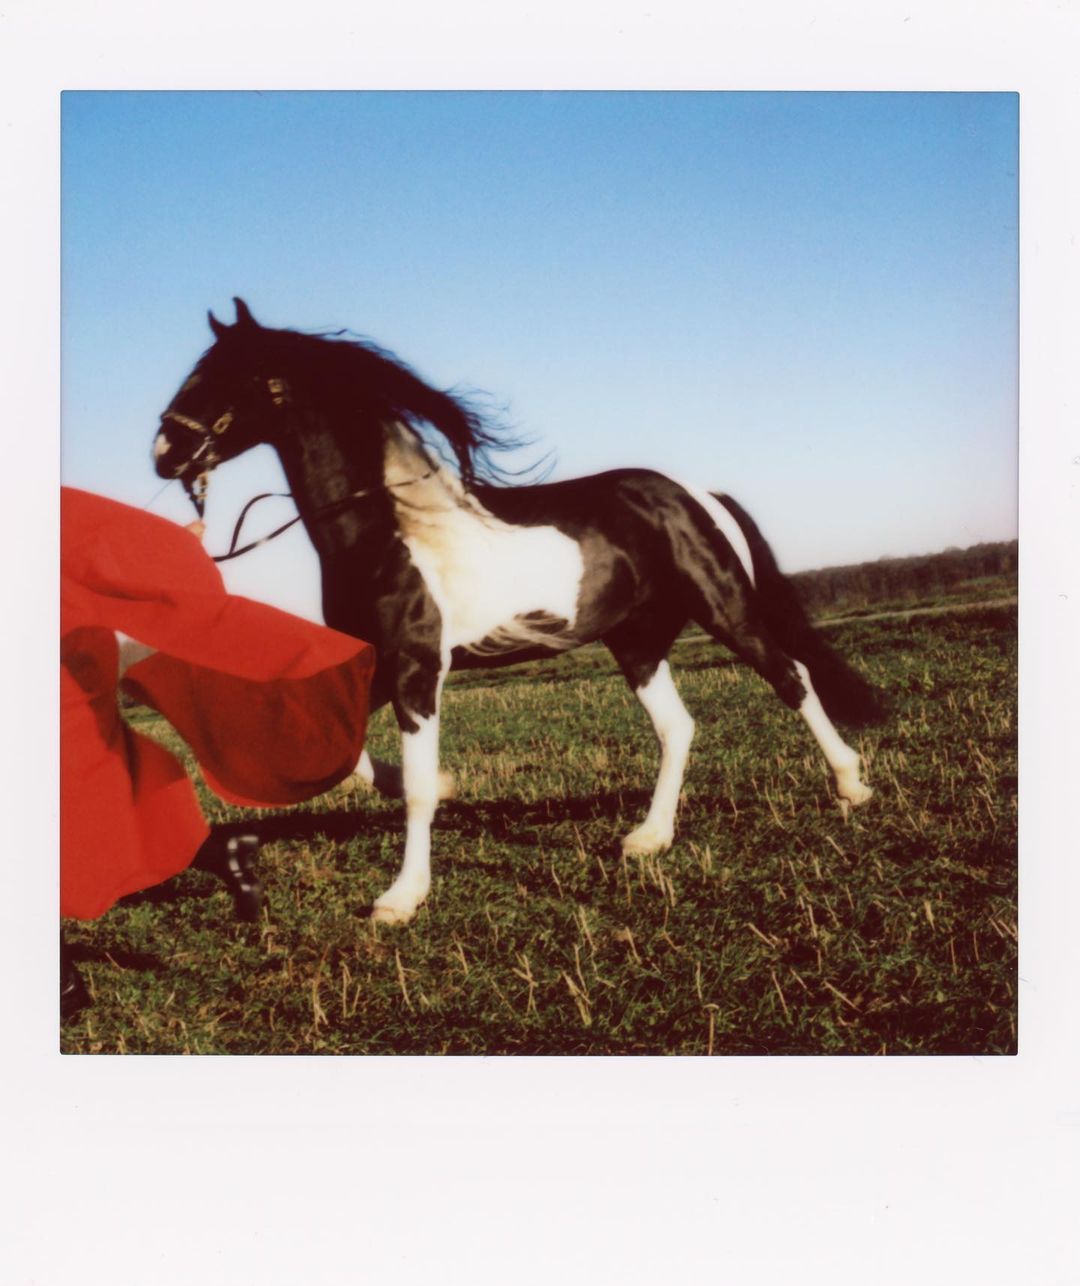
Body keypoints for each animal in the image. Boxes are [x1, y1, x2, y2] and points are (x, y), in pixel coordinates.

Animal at [152, 298, 883, 925]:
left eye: (224, 376)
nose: (163, 452)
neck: (389, 530)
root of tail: (694, 493)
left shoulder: (417, 667)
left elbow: (413, 788)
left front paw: (401, 897)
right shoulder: (380, 667)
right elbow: (343, 756)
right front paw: (448, 786)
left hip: (724, 608)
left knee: (791, 677)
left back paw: (851, 786)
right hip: (638, 643)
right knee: (677, 727)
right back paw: (648, 838)